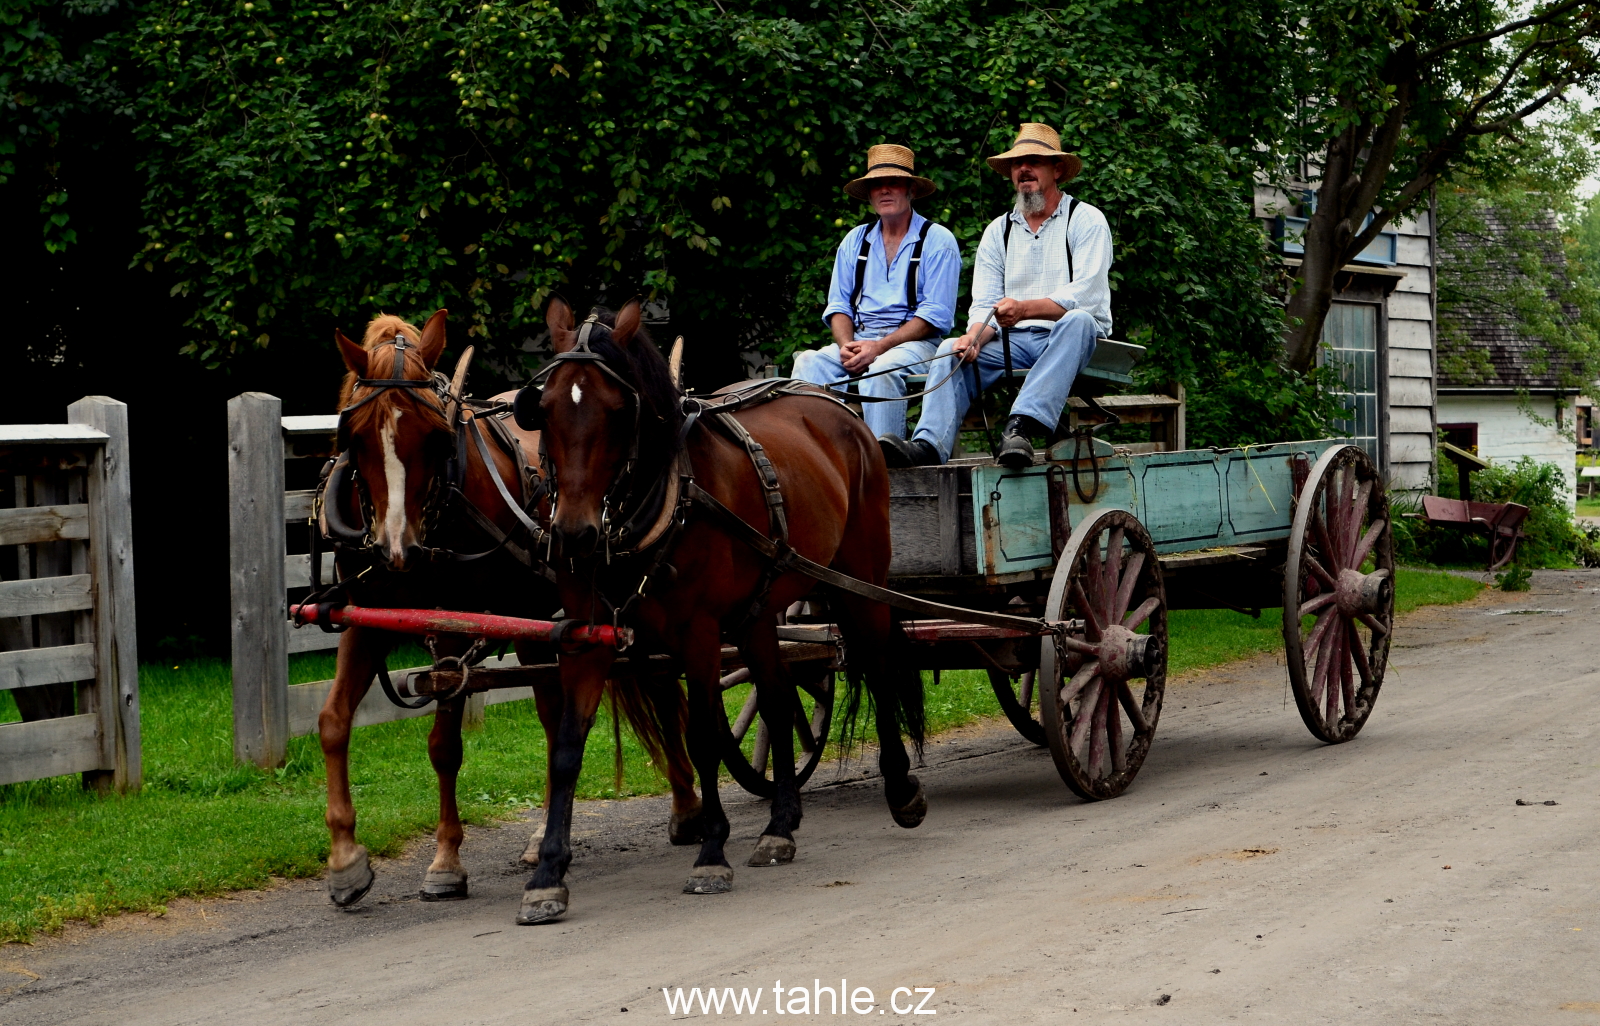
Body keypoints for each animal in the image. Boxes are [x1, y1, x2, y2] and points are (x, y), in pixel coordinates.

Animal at [318, 310, 700, 902]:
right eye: (354, 436)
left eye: (435, 436)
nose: (397, 549)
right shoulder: (366, 620)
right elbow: (334, 722)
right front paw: (345, 860)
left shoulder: (453, 627)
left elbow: (444, 746)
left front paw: (446, 861)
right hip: (541, 625)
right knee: (573, 707)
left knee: (641, 691)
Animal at [518, 297, 928, 928]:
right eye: (545, 408)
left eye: (618, 411)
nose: (575, 535)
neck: (663, 503)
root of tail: (838, 409)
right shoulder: (587, 637)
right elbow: (566, 747)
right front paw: (547, 874)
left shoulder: (700, 635)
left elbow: (705, 736)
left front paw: (711, 850)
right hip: (759, 611)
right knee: (779, 698)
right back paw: (781, 824)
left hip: (859, 581)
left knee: (878, 670)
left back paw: (901, 789)